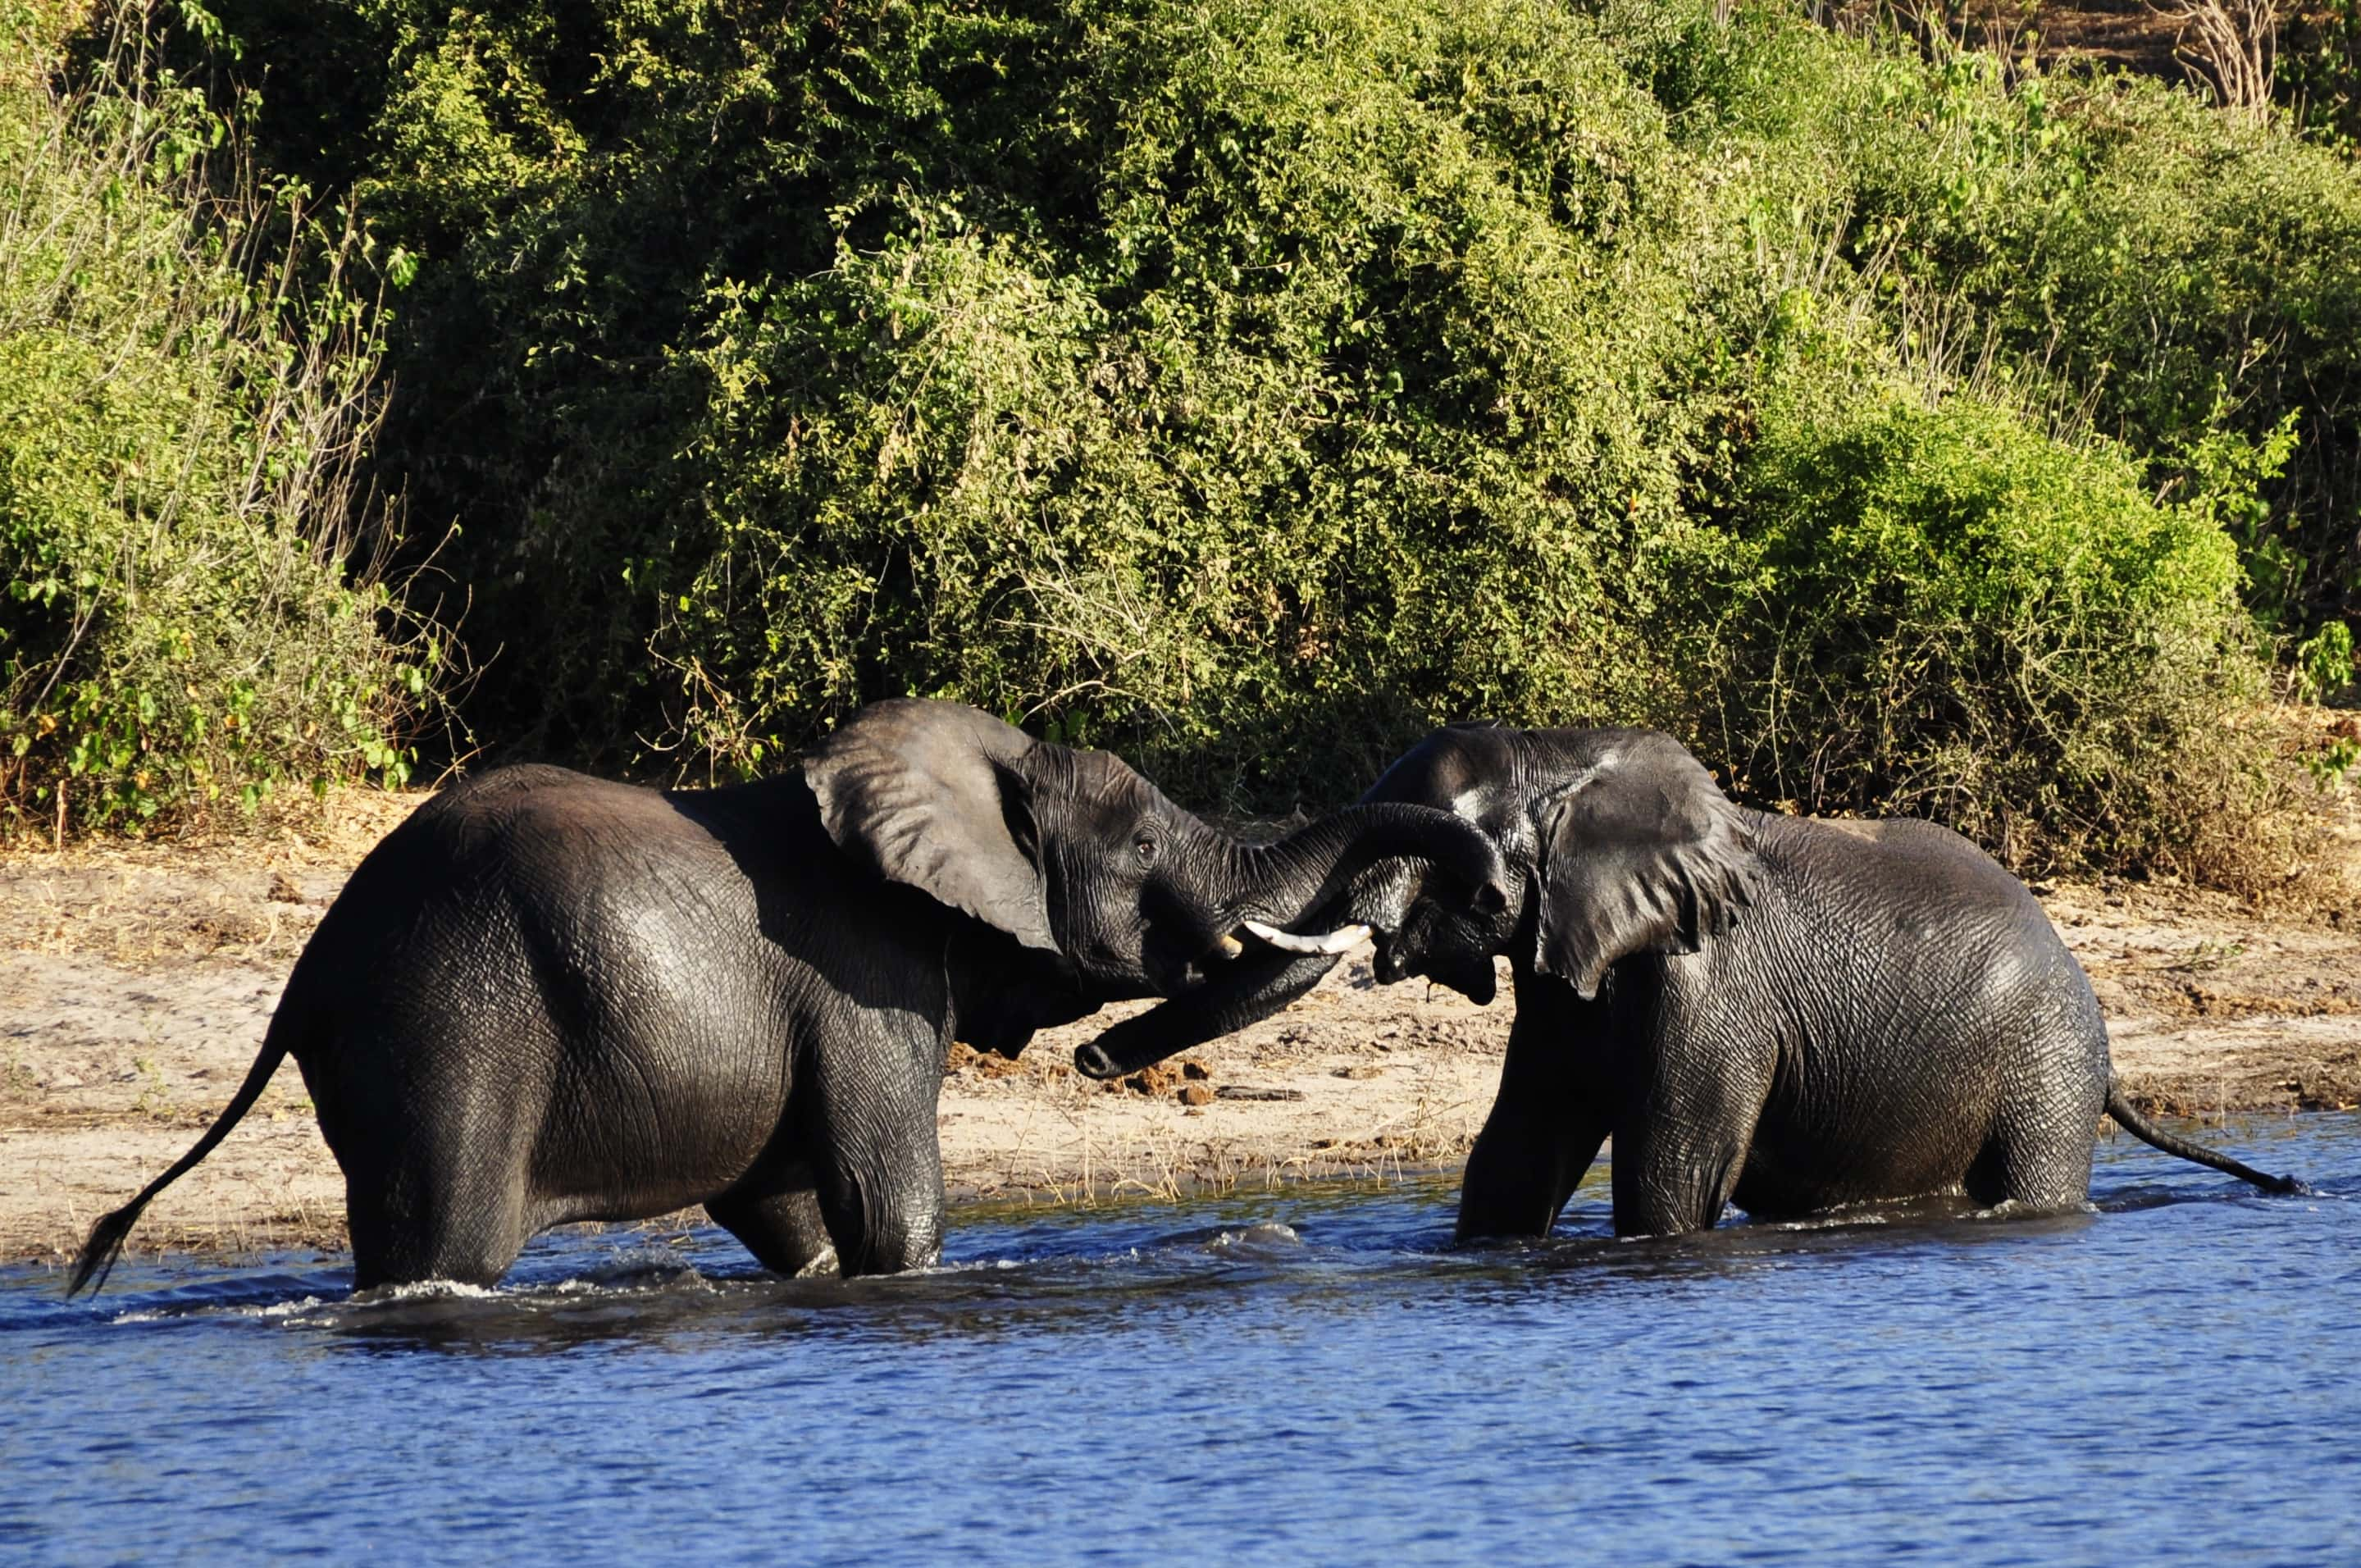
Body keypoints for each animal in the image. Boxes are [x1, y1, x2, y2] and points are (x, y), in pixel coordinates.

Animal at [69, 704, 1511, 1293]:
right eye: (1153, 852)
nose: (1105, 1066)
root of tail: (305, 972)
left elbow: (788, 1211)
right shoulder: (867, 978)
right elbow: (887, 1199)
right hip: (445, 1032)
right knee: (447, 1247)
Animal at [1081, 718, 2295, 1237]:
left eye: (1443, 845)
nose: (1090, 1057)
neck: (1574, 760)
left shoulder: (1707, 986)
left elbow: (1670, 1172)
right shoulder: (1566, 969)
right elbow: (1513, 1156)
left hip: (2043, 1064)